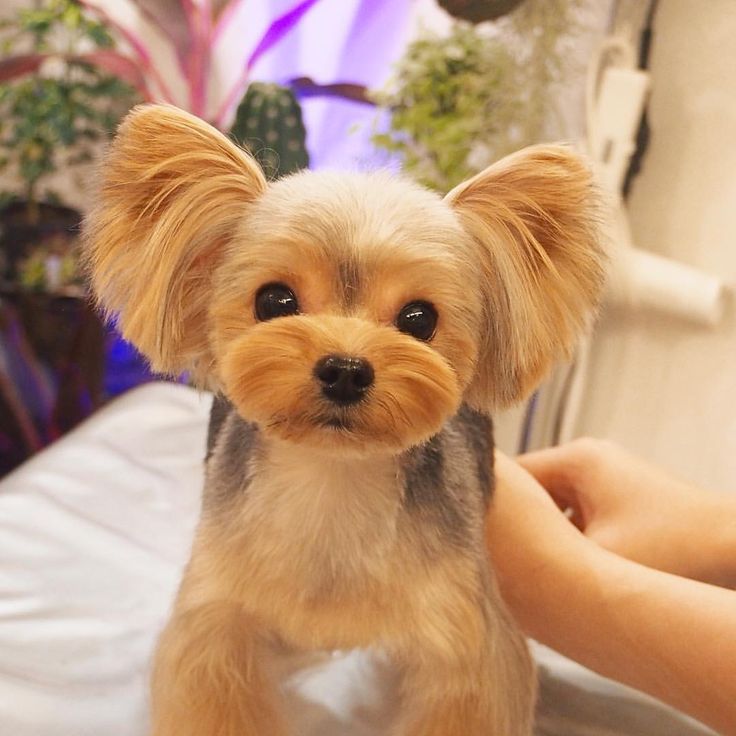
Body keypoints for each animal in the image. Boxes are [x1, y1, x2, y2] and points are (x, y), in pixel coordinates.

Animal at [85, 105, 604, 736]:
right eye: (274, 301)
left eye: (419, 318)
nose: (347, 370)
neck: (332, 481)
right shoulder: (215, 626)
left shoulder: (467, 648)